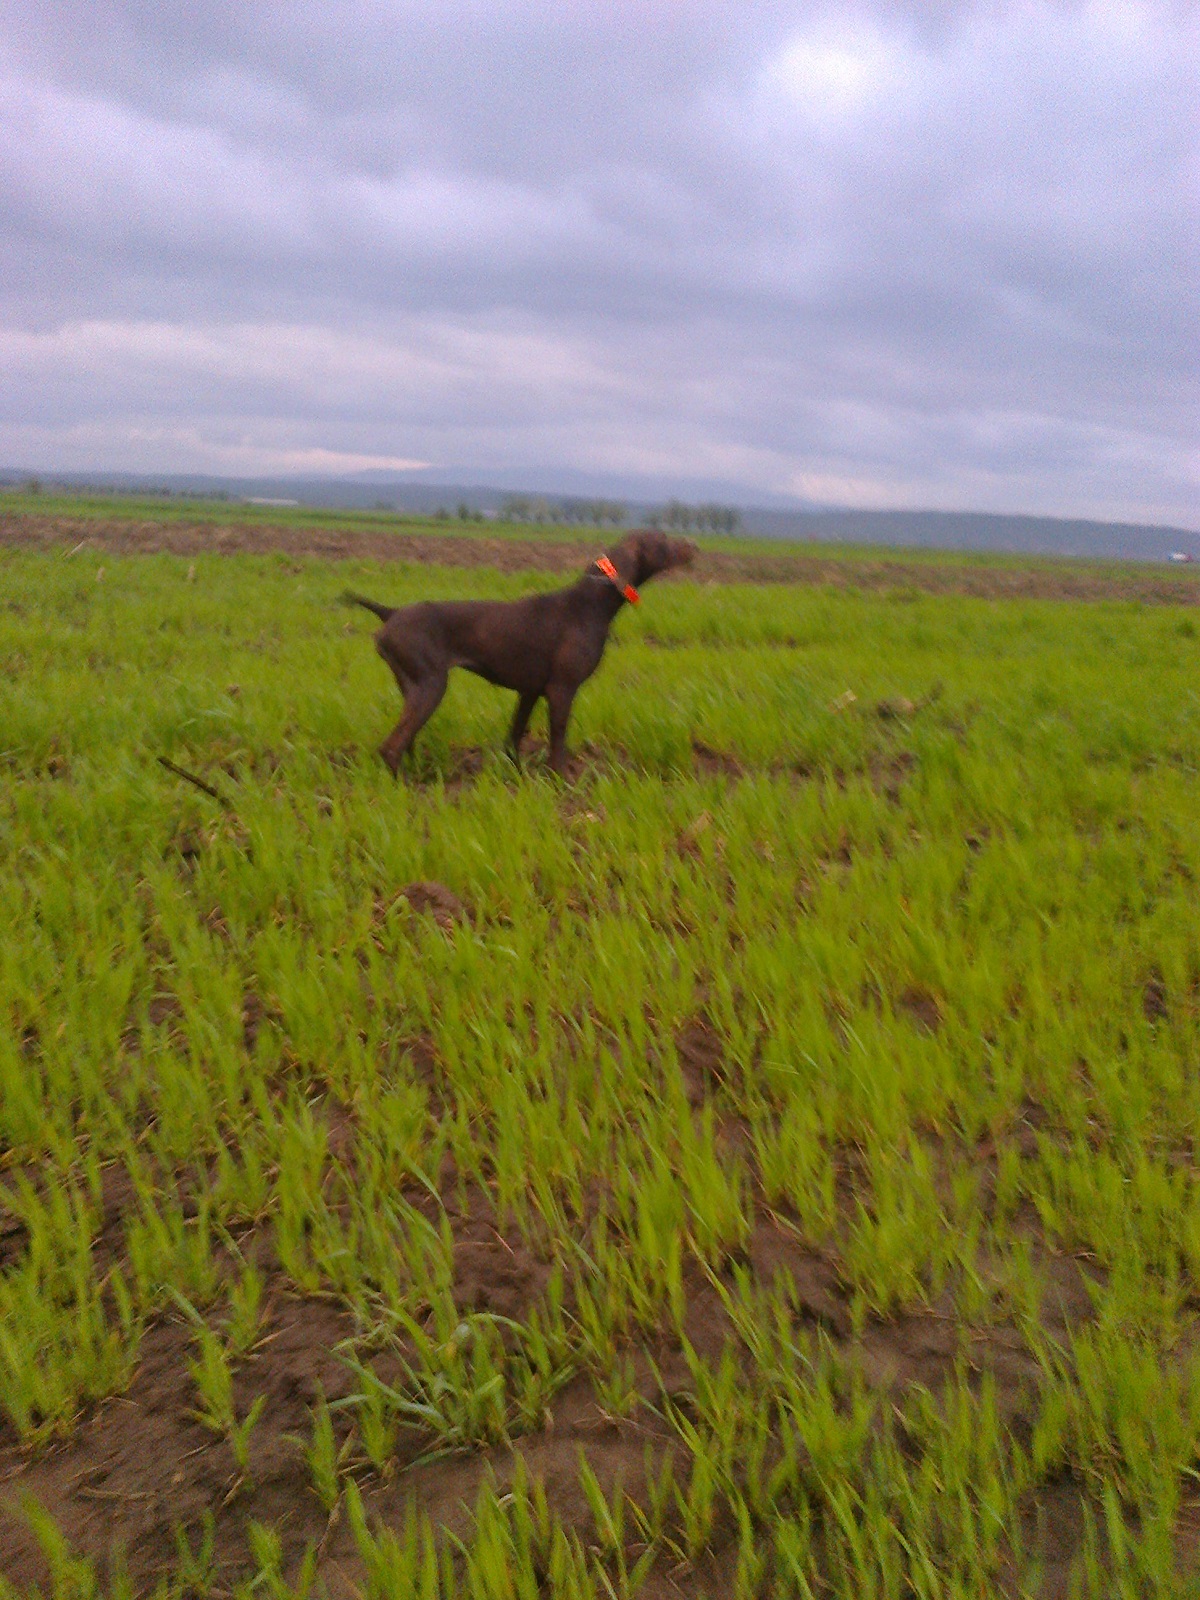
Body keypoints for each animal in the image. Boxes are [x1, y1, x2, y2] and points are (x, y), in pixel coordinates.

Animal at [344, 528, 696, 775]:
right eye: (663, 539)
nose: (695, 546)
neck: (592, 602)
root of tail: (390, 613)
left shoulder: (530, 691)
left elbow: (514, 737)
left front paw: (516, 776)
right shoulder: (561, 689)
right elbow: (558, 741)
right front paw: (561, 779)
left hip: (411, 686)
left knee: (406, 741)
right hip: (430, 686)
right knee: (391, 747)